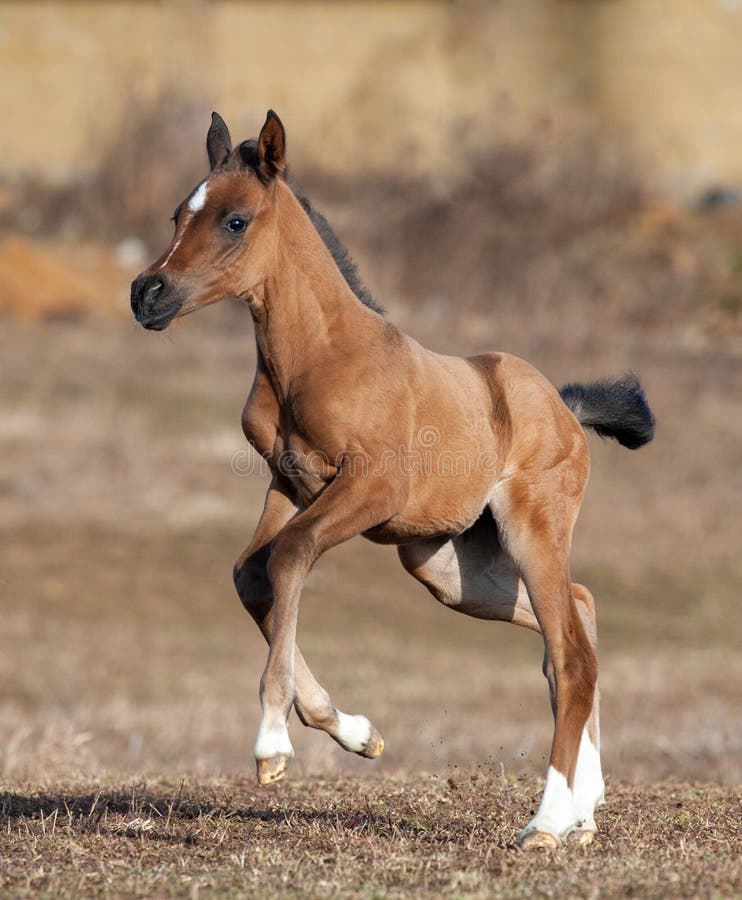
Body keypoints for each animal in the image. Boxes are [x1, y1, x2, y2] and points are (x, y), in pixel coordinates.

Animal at [131, 109, 652, 848]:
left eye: (235, 220)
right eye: (179, 213)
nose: (146, 293)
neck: (318, 356)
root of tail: (565, 406)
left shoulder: (372, 489)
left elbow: (289, 556)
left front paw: (272, 747)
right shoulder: (288, 485)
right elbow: (252, 574)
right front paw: (356, 732)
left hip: (531, 531)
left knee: (573, 653)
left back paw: (547, 822)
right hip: (449, 567)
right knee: (579, 615)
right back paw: (585, 808)